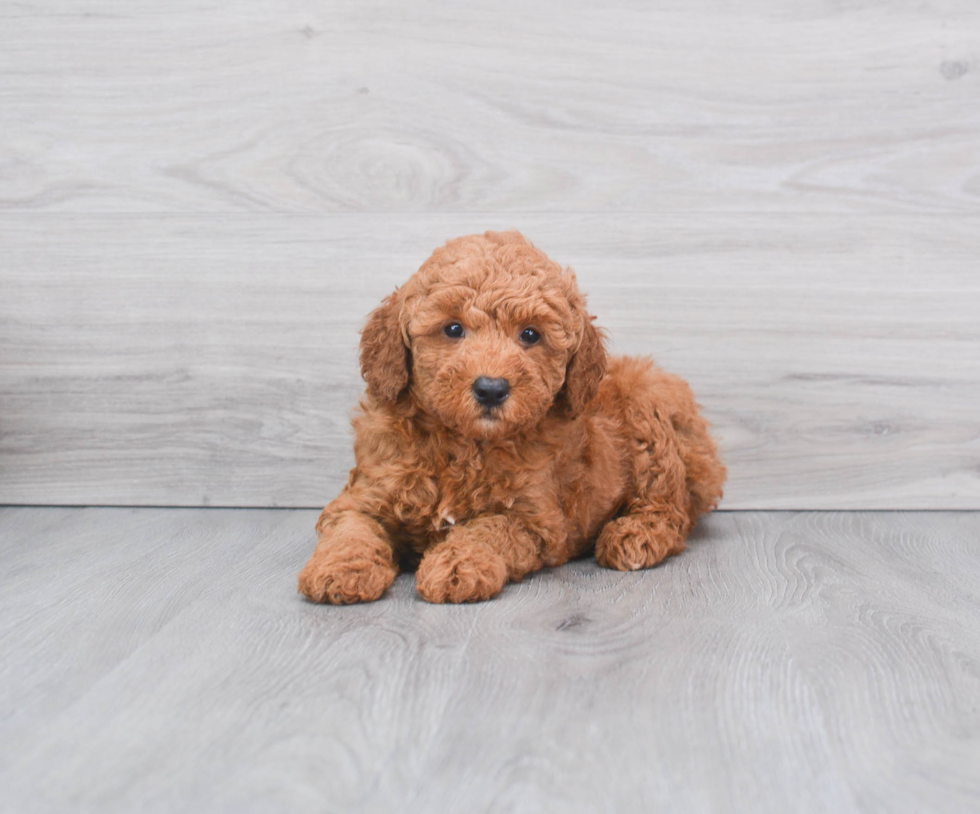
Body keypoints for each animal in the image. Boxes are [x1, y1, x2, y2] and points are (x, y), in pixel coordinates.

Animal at [294, 230, 724, 604]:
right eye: (453, 329)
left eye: (530, 335)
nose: (491, 388)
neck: (464, 445)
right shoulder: (365, 494)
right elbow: (351, 529)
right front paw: (341, 570)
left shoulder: (534, 520)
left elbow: (487, 530)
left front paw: (457, 566)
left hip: (648, 410)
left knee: (670, 507)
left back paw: (635, 536)